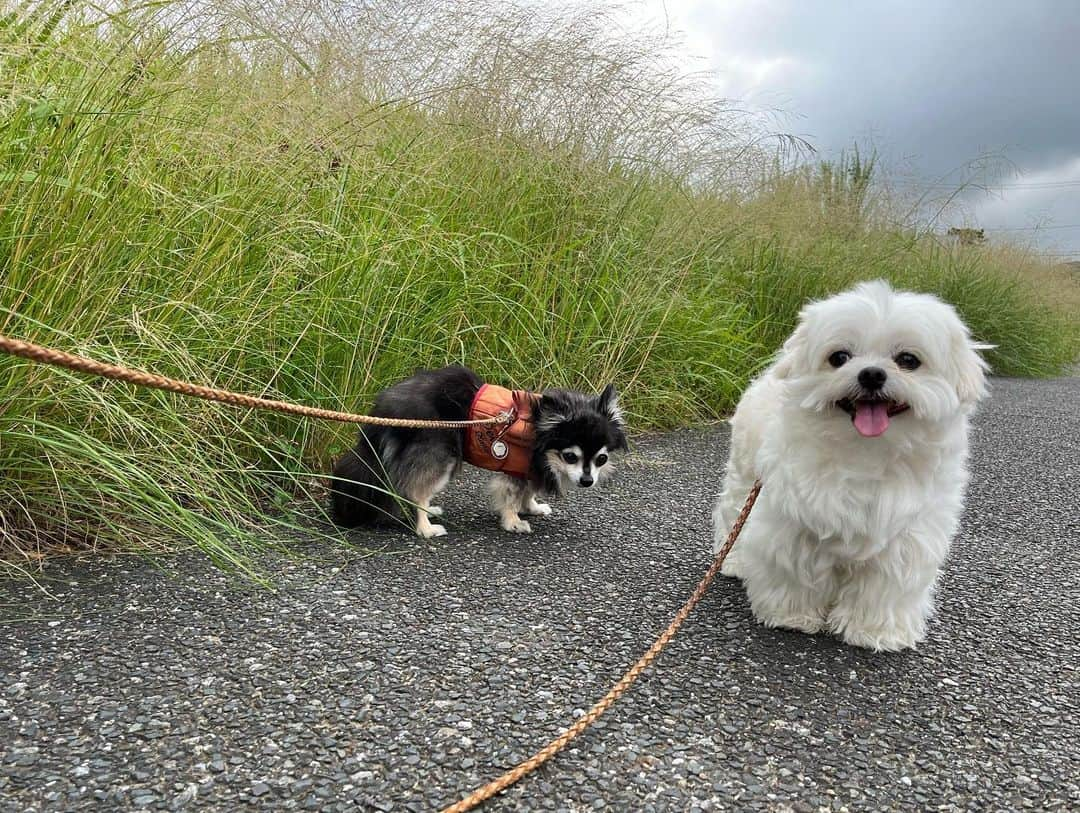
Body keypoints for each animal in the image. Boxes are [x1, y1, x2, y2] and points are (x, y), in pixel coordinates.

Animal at [328, 364, 626, 535]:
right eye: (570, 456)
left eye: (601, 459)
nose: (587, 481)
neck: (539, 428)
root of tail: (385, 411)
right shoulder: (514, 470)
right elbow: (510, 497)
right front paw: (513, 521)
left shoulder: (528, 468)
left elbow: (529, 491)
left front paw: (532, 507)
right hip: (440, 457)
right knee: (414, 491)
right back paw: (425, 528)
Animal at [712, 282, 989, 652]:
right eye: (839, 357)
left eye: (908, 360)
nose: (871, 373)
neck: (865, 454)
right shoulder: (794, 522)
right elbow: (794, 569)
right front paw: (792, 616)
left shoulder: (906, 538)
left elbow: (885, 587)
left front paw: (875, 631)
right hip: (744, 475)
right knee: (733, 516)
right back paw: (734, 561)